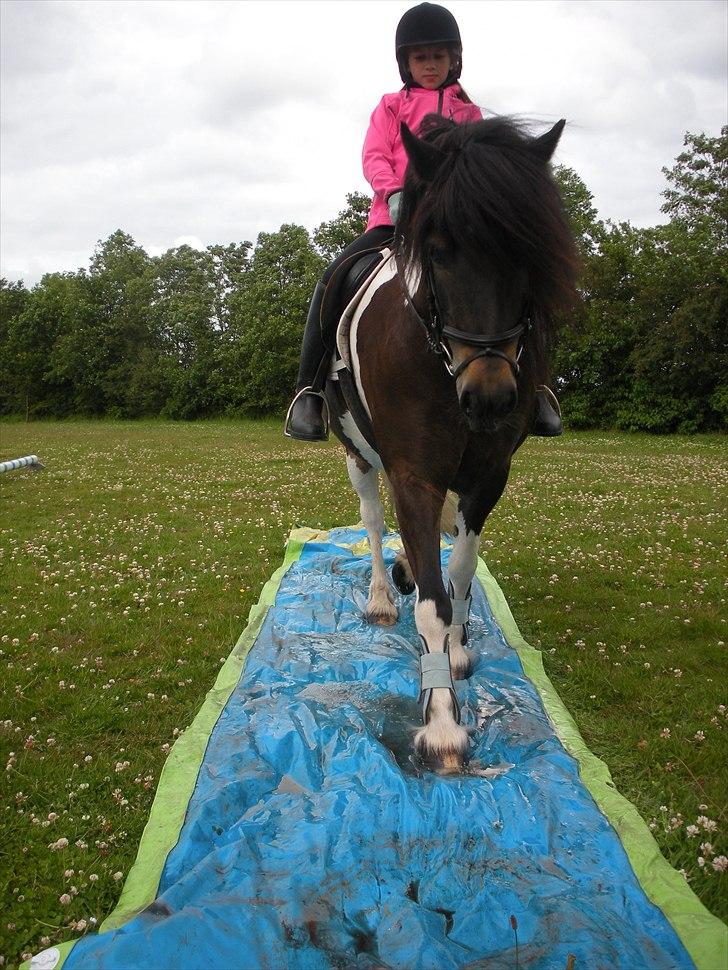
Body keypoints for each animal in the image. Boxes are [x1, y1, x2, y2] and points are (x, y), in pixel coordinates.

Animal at [328, 113, 576, 768]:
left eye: (531, 253)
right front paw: (441, 723)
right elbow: (432, 602)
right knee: (371, 520)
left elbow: (459, 572)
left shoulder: (488, 476)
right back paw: (382, 596)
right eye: (439, 252)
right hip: (356, 453)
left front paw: (461, 651)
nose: (489, 396)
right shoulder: (412, 474)